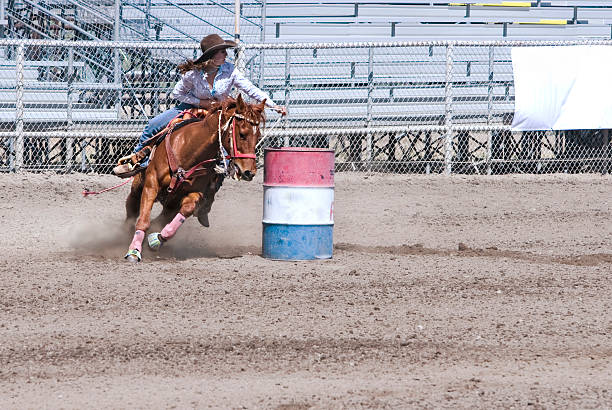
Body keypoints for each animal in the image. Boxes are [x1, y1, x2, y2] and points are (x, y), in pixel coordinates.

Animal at [124, 95, 266, 262]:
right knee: (132, 207)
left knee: (161, 218)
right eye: (242, 134)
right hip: (139, 185)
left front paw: (157, 239)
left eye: (258, 136)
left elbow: (187, 209)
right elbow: (143, 221)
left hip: (171, 204)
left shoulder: (195, 193)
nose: (249, 172)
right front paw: (134, 251)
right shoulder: (151, 184)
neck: (188, 151)